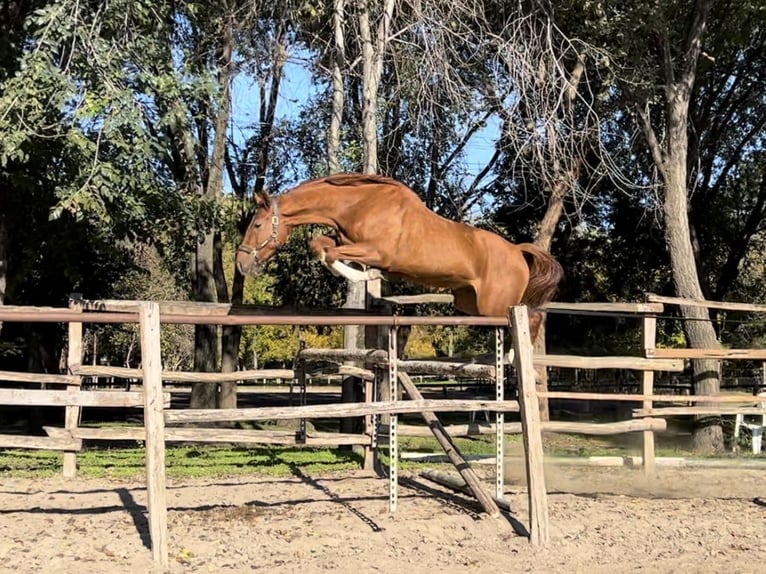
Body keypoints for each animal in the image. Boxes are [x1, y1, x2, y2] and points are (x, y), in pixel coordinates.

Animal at [236, 173, 564, 341]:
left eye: (257, 225)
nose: (241, 263)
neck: (360, 203)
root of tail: (517, 251)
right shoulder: (345, 240)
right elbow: (320, 245)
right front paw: (364, 274)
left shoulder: (377, 251)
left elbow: (332, 254)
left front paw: (368, 275)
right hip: (471, 304)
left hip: (496, 305)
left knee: (531, 318)